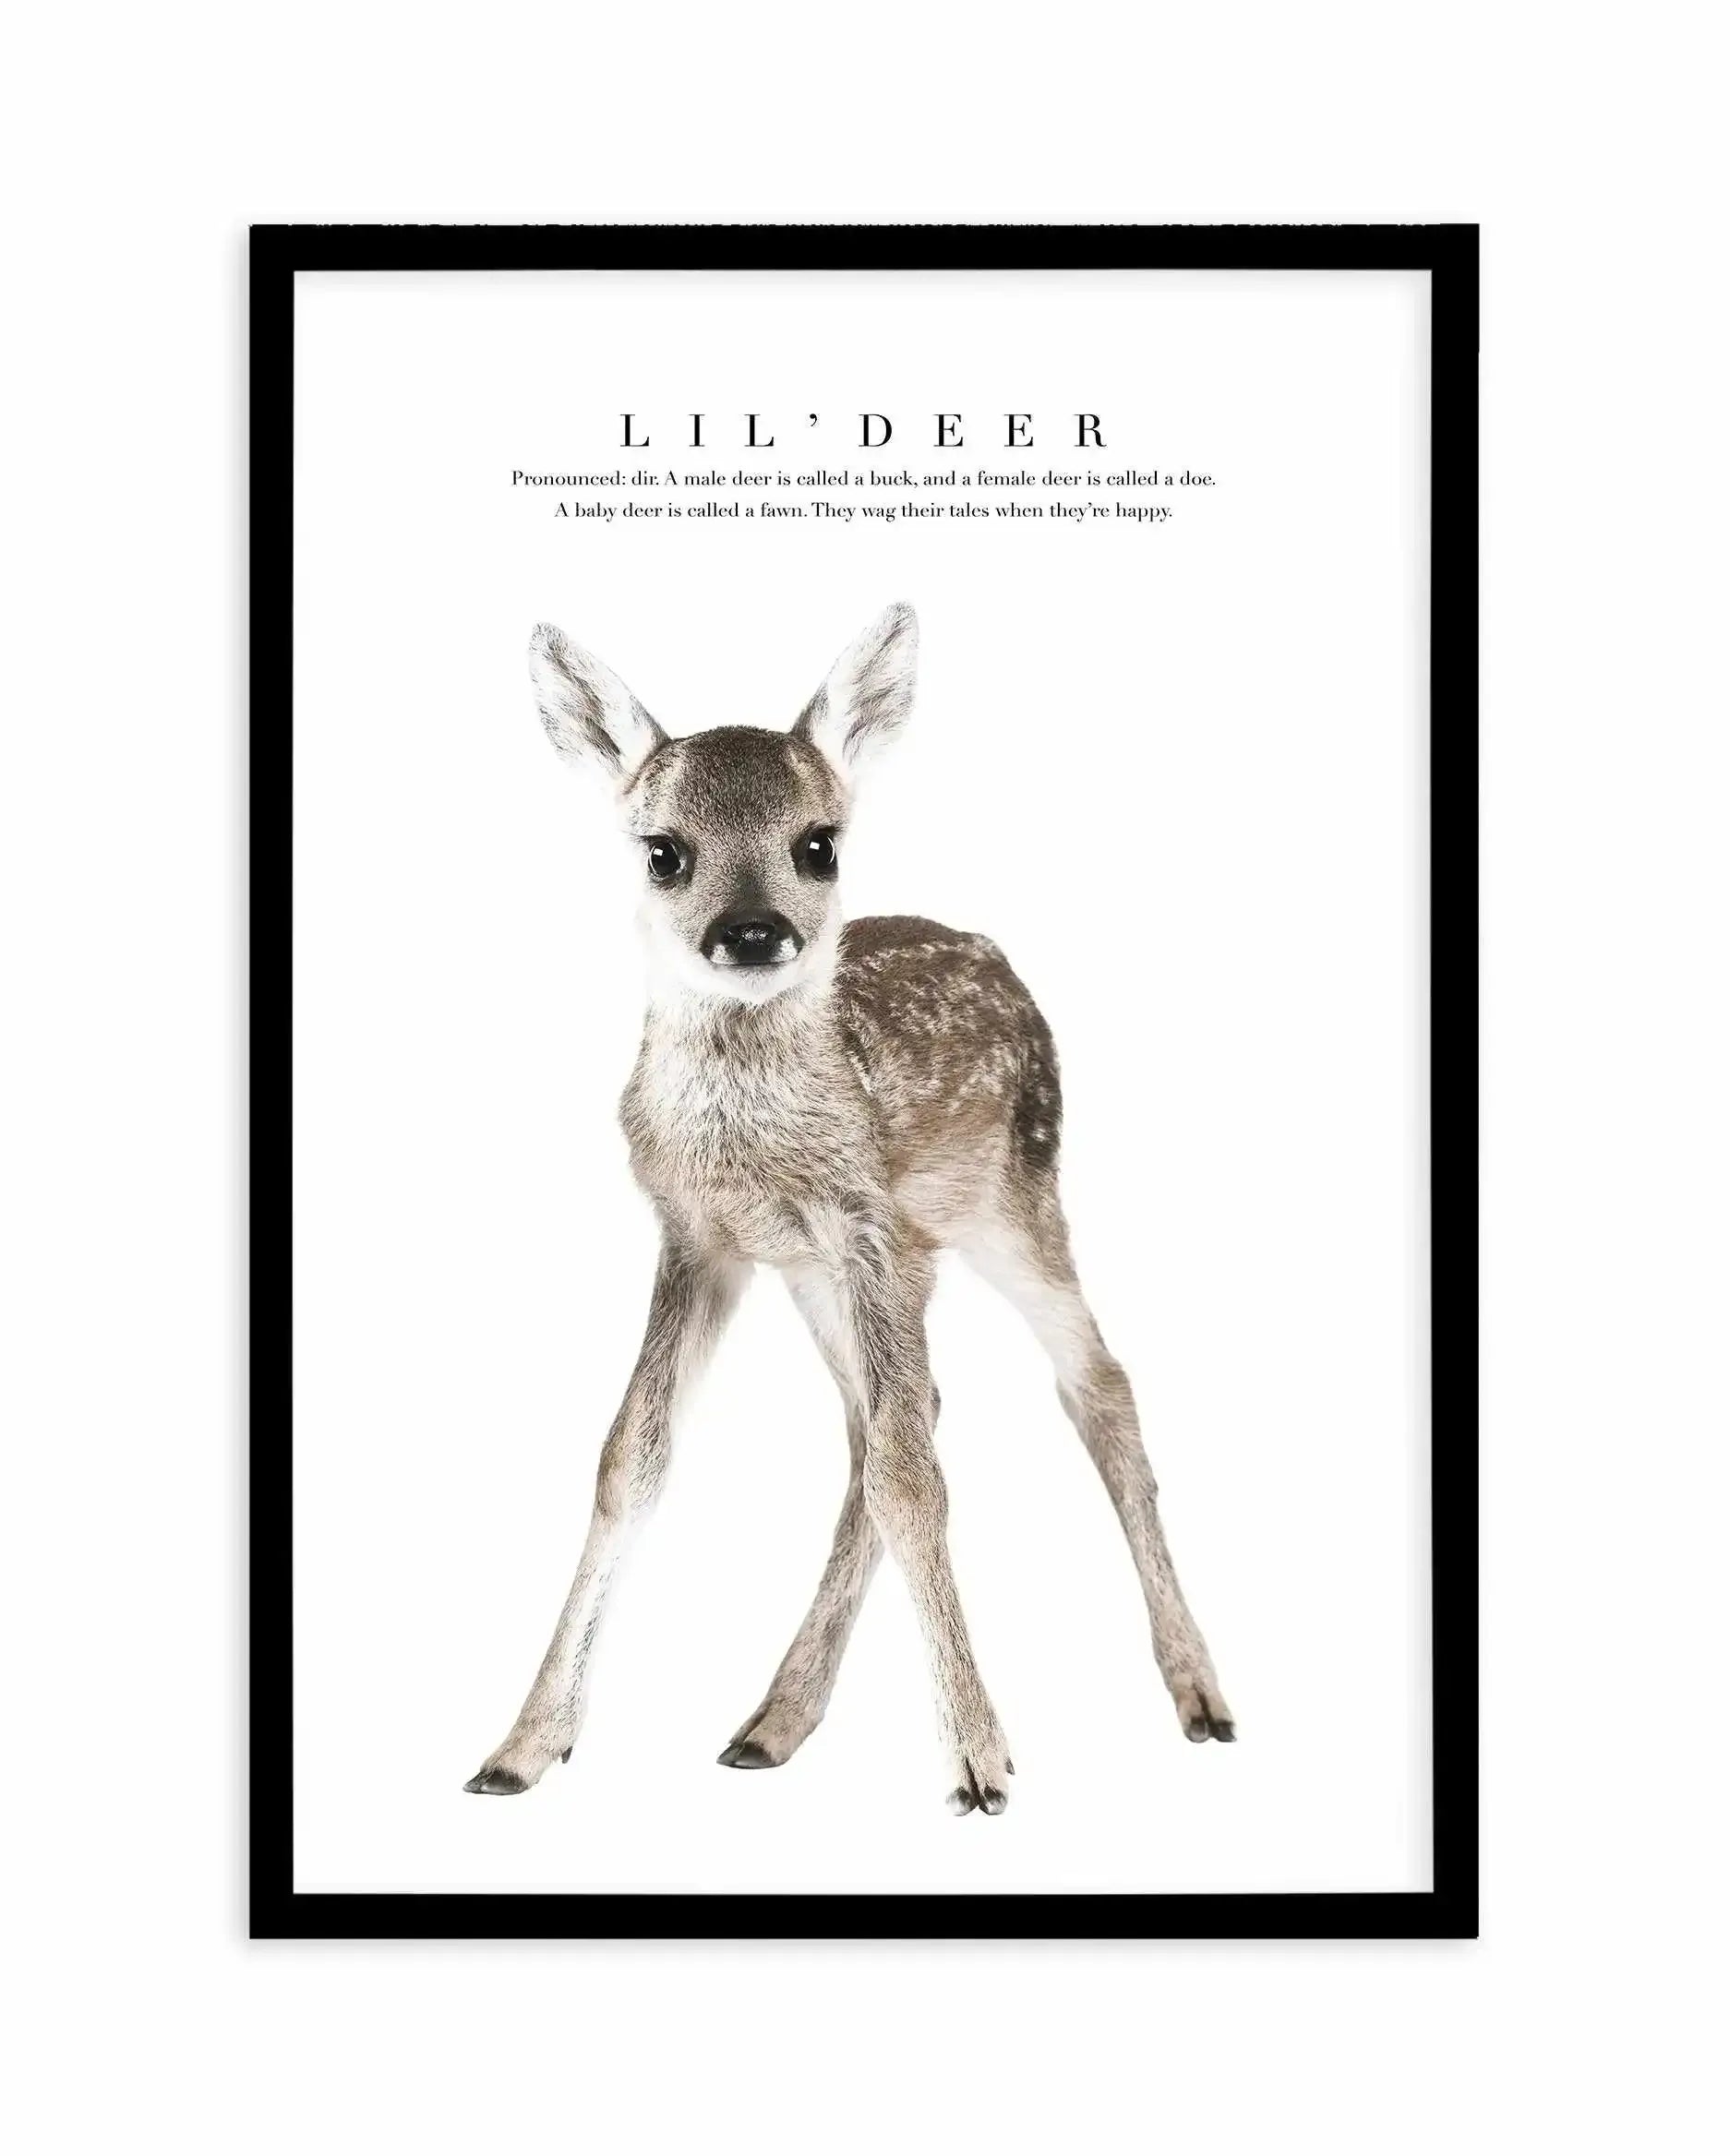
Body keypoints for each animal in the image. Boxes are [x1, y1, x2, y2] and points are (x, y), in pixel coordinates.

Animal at [465, 604, 1233, 1816]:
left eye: (817, 842)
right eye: (662, 850)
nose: (751, 932)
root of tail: (992, 950)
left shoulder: (863, 1218)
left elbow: (909, 1476)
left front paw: (976, 1762)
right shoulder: (700, 1237)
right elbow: (631, 1455)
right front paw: (524, 1744)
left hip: (1013, 1198)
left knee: (1090, 1383)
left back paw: (1197, 1692)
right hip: (845, 1272)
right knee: (893, 1418)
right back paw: (772, 1720)